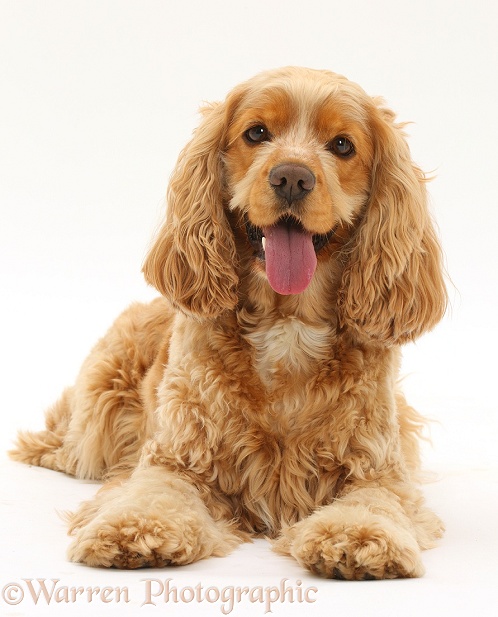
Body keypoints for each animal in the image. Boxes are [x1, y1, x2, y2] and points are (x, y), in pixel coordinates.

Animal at [11, 66, 448, 576]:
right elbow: (154, 491)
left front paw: (358, 537)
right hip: (99, 404)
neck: (286, 325)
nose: (292, 177)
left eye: (342, 145)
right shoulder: (175, 457)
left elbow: (376, 502)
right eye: (256, 133)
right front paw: (134, 528)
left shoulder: (378, 468)